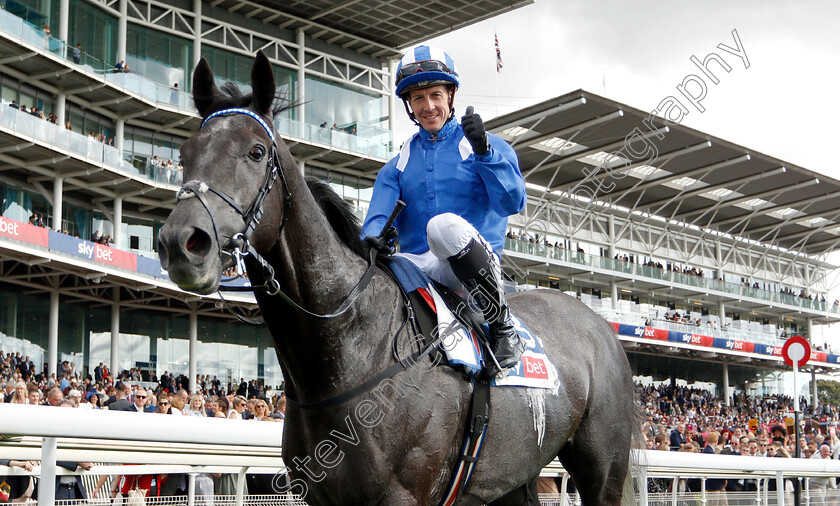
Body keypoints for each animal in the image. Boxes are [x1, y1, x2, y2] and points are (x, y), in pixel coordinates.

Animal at [158, 51, 632, 506]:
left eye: (256, 152)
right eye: (184, 154)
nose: (181, 243)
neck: (347, 348)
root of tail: (597, 325)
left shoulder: (403, 494)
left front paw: (478, 137)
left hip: (603, 469)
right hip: (513, 476)